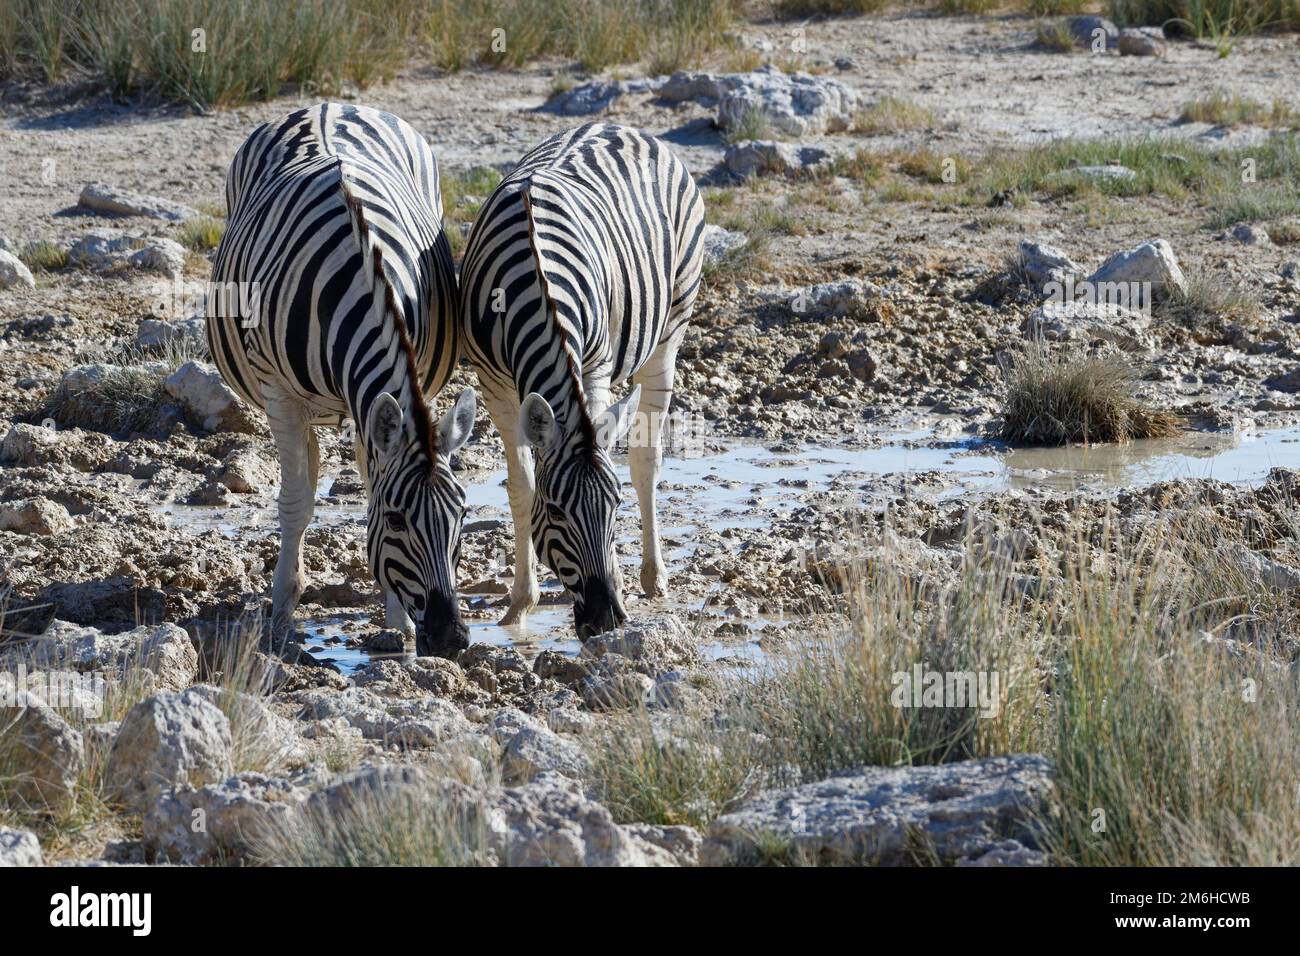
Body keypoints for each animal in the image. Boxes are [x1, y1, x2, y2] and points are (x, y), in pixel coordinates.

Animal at [208, 104, 478, 658]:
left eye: (463, 514)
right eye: (396, 520)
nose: (451, 639)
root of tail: (326, 105)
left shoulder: (401, 382)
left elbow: (371, 480)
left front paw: (398, 624)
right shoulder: (278, 394)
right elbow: (294, 504)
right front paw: (281, 614)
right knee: (305, 477)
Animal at [457, 123, 702, 639]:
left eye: (615, 505)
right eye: (554, 512)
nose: (606, 618)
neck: (535, 282)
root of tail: (622, 126)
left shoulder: (595, 365)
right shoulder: (494, 384)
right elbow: (521, 485)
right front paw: (520, 602)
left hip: (672, 325)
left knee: (646, 462)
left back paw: (653, 577)